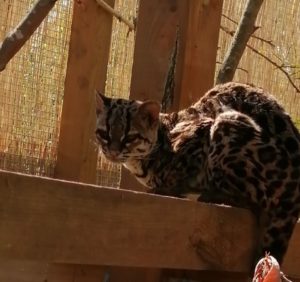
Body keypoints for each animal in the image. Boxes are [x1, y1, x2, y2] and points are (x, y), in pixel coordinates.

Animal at [95, 81, 298, 268]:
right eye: (103, 134)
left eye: (130, 137)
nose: (112, 152)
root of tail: (293, 195)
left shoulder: (200, 131)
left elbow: (179, 171)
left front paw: (167, 187)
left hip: (228, 122)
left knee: (251, 201)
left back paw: (209, 194)